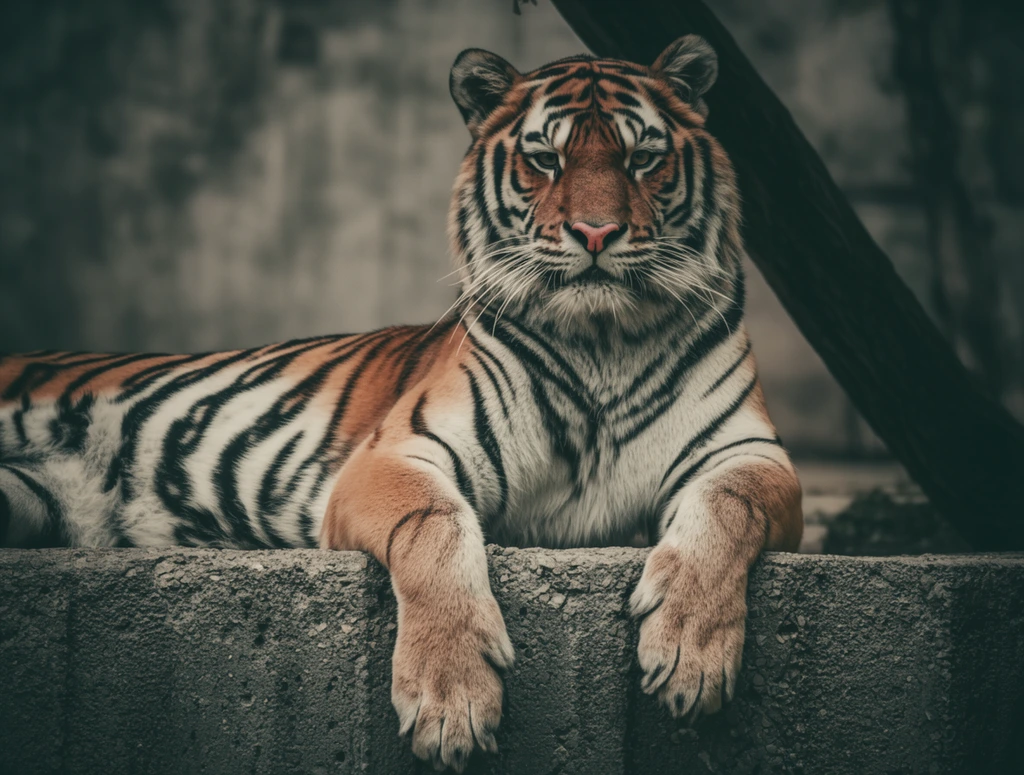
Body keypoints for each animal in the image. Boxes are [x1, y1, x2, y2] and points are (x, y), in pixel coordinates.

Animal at [0, 35, 802, 771]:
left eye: (642, 160)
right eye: (547, 160)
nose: (597, 232)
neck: (602, 340)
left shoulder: (747, 452)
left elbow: (727, 506)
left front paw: (690, 653)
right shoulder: (400, 452)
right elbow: (434, 527)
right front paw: (451, 700)